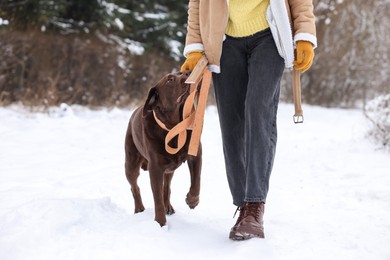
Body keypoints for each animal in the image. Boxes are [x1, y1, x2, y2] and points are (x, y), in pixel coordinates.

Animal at [125, 72, 203, 226]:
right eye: (170, 80)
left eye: (181, 72)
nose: (187, 73)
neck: (174, 127)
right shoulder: (155, 168)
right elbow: (157, 199)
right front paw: (160, 223)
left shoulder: (196, 153)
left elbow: (196, 180)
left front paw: (192, 200)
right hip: (131, 163)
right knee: (135, 186)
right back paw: (139, 209)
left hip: (169, 170)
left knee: (166, 188)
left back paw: (169, 207)